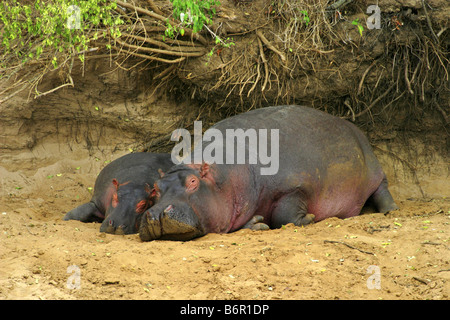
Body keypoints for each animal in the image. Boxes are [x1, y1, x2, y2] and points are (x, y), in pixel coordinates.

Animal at [139, 106, 400, 241]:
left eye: (193, 181)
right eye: (155, 189)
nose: (156, 213)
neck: (222, 176)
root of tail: (354, 127)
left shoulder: (294, 187)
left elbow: (286, 214)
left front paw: (309, 218)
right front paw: (257, 224)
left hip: (375, 170)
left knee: (382, 190)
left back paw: (391, 211)